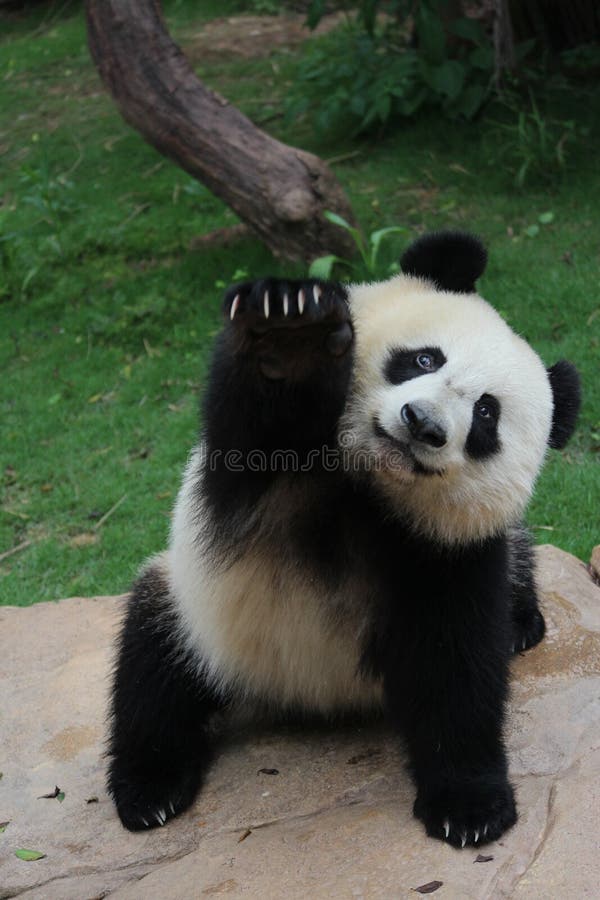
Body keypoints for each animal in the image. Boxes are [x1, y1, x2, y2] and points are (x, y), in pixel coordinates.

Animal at [108, 230, 580, 844]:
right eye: (424, 358)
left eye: (485, 414)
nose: (423, 423)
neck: (369, 490)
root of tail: (305, 700)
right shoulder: (259, 484)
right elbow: (258, 421)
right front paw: (290, 333)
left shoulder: (449, 553)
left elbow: (456, 663)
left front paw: (470, 807)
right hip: (195, 610)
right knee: (153, 671)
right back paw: (150, 790)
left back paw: (523, 621)